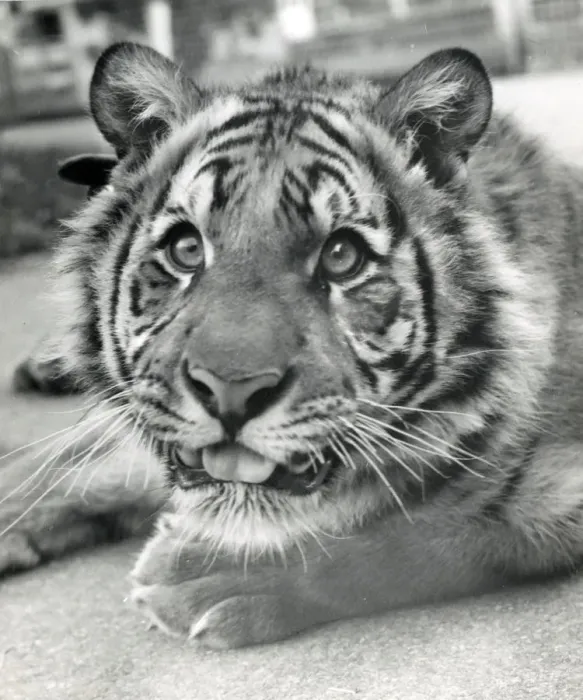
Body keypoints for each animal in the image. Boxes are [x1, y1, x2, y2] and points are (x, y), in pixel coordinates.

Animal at [2, 41, 583, 650]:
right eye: (187, 249)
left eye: (342, 256)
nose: (232, 393)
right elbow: (67, 468)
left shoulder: (551, 491)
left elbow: (411, 538)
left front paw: (211, 570)